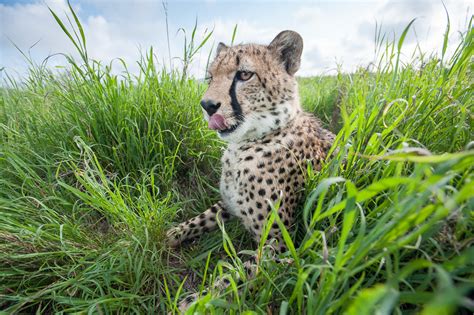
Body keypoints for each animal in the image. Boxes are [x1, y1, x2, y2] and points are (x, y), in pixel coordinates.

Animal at [168, 30, 336, 252]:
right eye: (210, 77)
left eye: (245, 75)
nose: (207, 105)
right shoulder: (227, 203)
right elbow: (205, 216)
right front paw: (174, 232)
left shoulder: (278, 243)